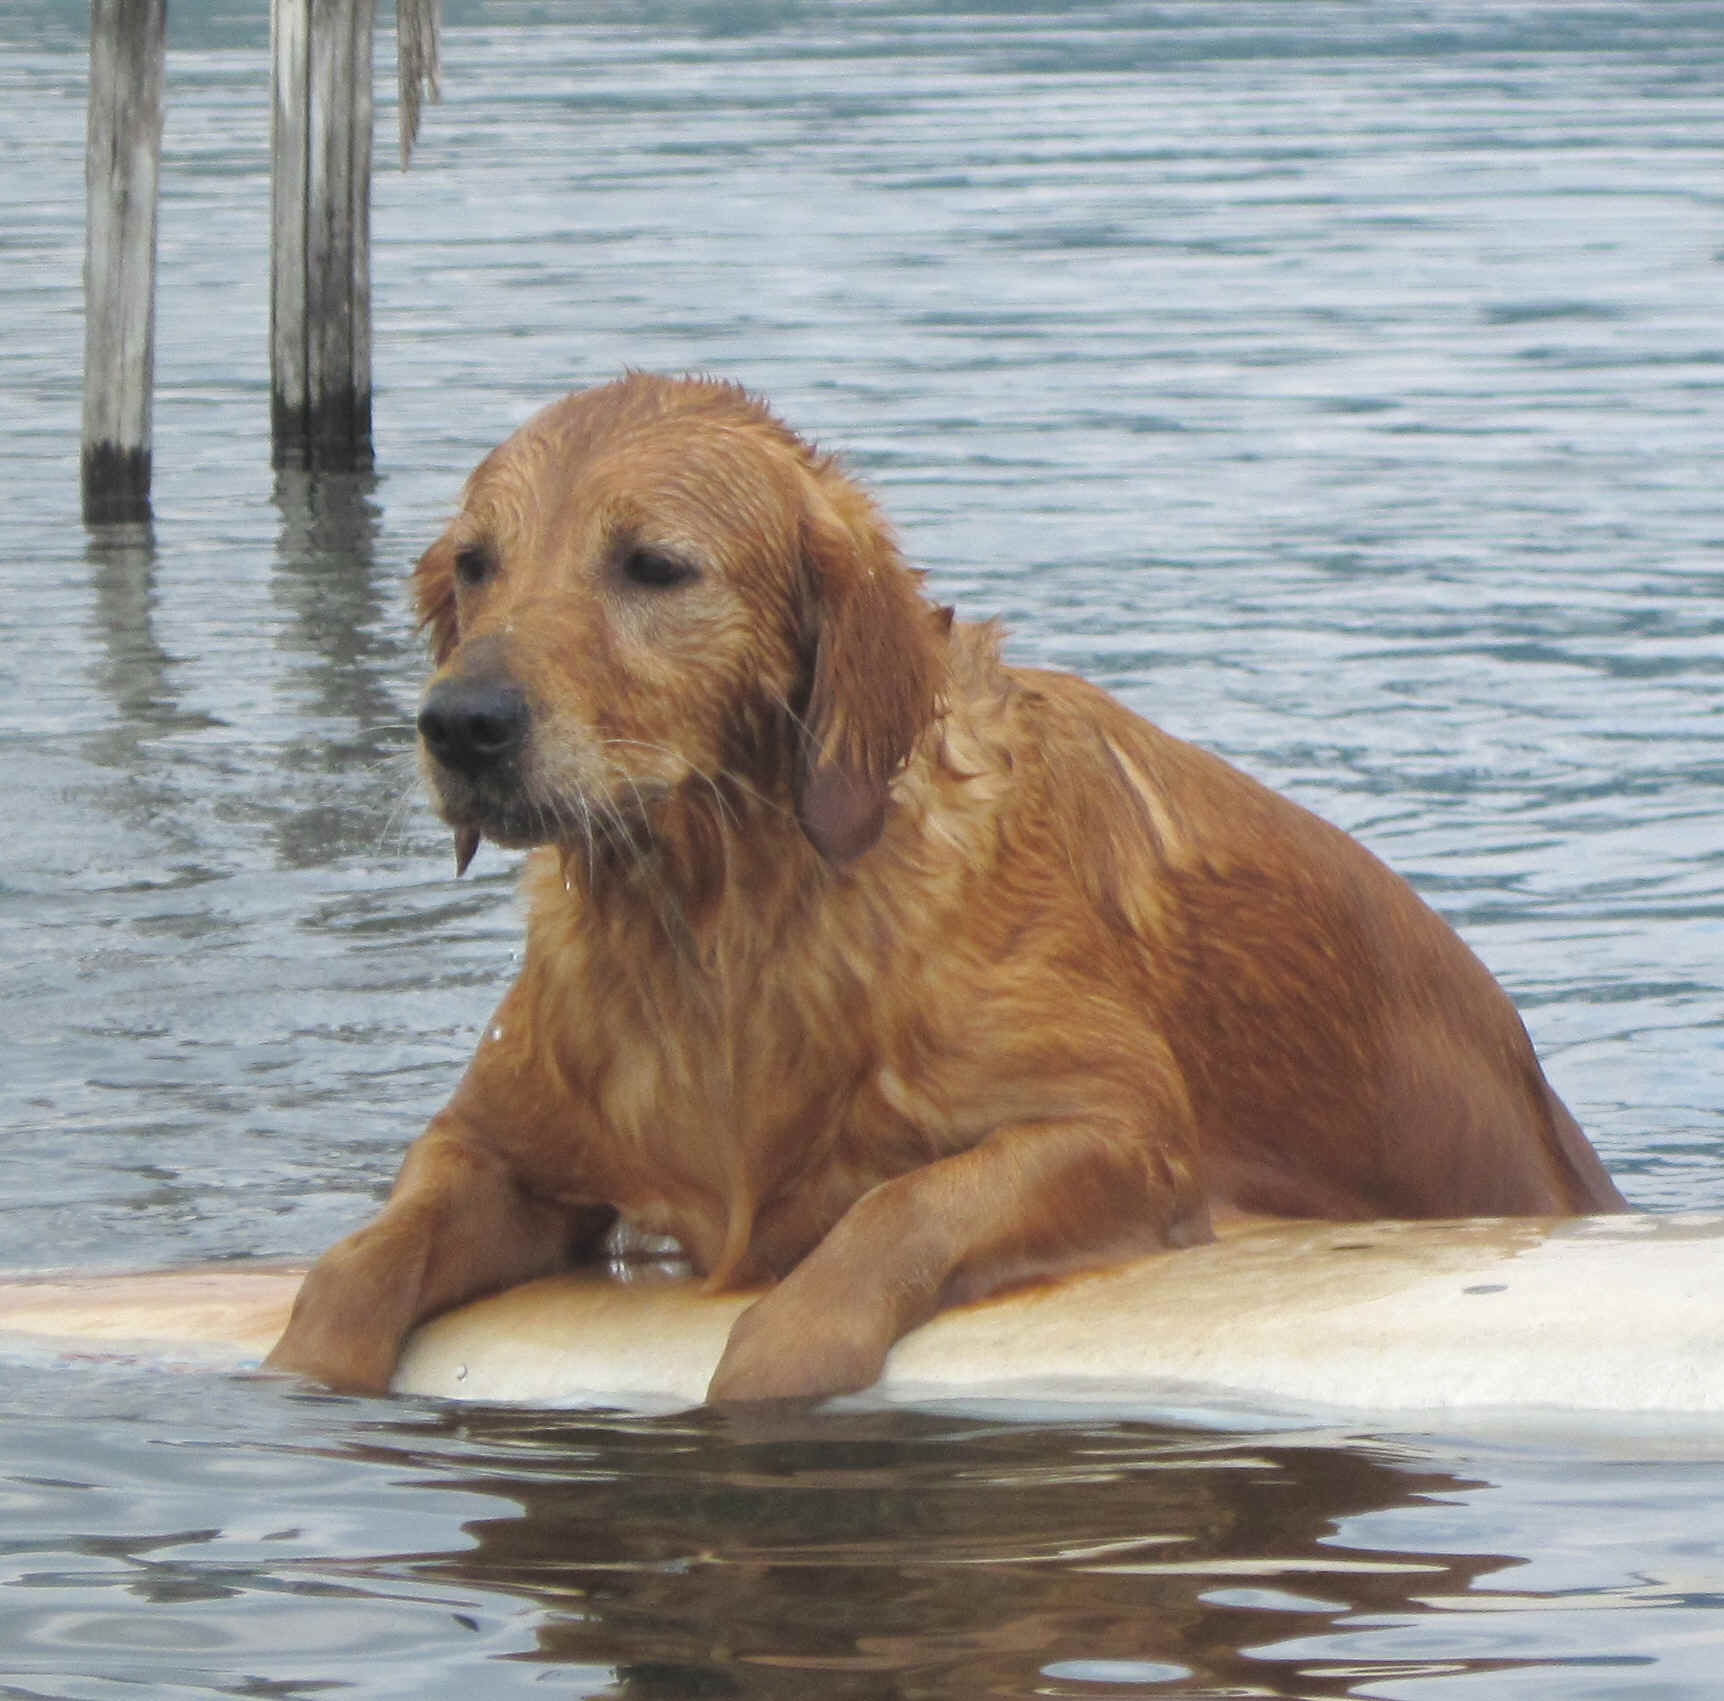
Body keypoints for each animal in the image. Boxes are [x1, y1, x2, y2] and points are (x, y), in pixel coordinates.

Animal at [268, 372, 1627, 1399]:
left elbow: (889, 1218)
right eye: (476, 565)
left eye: (654, 567)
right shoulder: (494, 1144)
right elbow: (350, 1272)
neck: (719, 925)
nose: (461, 724)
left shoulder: (1118, 1130)